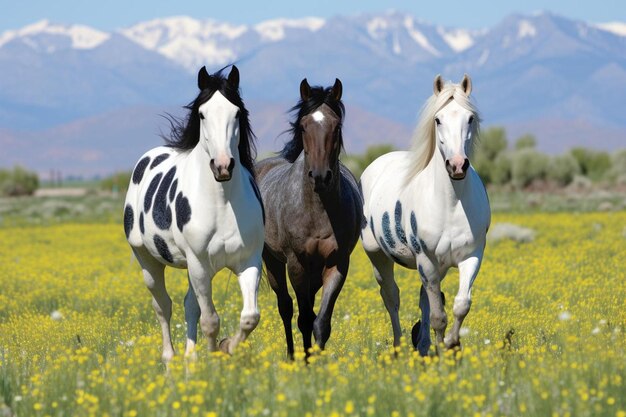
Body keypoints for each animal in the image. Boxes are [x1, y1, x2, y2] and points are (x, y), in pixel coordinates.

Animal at [124, 66, 264, 360]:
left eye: (237, 112)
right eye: (202, 114)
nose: (222, 166)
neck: (221, 204)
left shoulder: (249, 261)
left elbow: (249, 317)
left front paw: (226, 347)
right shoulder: (200, 264)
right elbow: (210, 320)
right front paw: (213, 358)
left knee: (189, 305)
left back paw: (190, 359)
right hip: (147, 261)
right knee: (163, 306)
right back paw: (170, 359)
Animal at [254, 78, 360, 358]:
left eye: (337, 125)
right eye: (303, 125)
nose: (321, 176)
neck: (317, 210)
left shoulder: (337, 263)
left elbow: (320, 321)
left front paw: (318, 360)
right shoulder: (296, 263)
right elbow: (301, 318)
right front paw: (305, 361)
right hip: (273, 261)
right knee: (285, 307)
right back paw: (292, 356)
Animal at [358, 75, 490, 354]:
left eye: (470, 118)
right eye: (438, 119)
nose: (457, 165)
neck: (451, 204)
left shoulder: (471, 256)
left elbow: (460, 304)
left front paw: (450, 344)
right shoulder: (425, 260)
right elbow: (439, 316)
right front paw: (441, 351)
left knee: (424, 300)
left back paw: (422, 345)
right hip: (377, 255)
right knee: (391, 297)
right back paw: (399, 347)